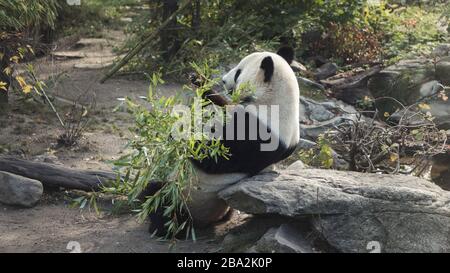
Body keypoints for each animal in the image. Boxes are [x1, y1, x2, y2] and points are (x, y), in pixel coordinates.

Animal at [149, 46, 302, 234]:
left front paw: (180, 131)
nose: (222, 80)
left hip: (182, 200)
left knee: (161, 203)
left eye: (238, 72)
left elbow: (212, 158)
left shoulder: (260, 137)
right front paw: (200, 81)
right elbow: (223, 105)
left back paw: (161, 226)